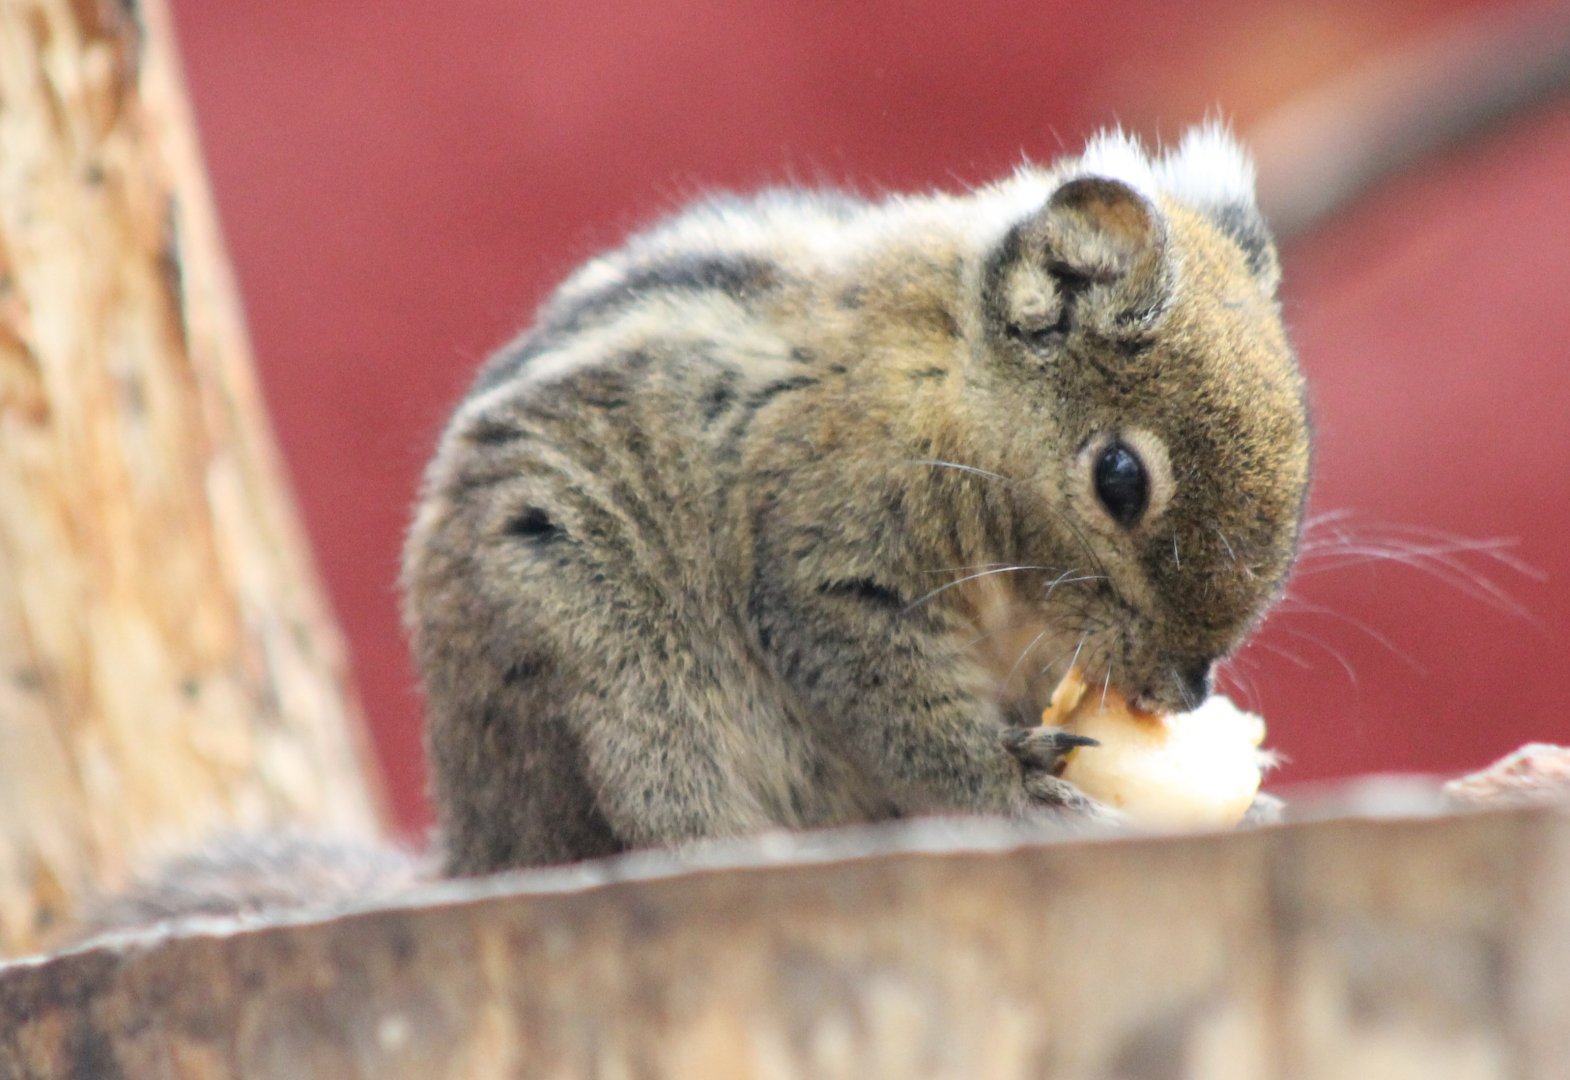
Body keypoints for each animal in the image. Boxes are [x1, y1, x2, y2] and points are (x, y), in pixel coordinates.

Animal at [401, 123, 1312, 878]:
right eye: (1120, 479)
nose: (1185, 691)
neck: (947, 379)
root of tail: (474, 830)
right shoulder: (831, 564)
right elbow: (902, 714)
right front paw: (1015, 785)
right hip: (602, 669)